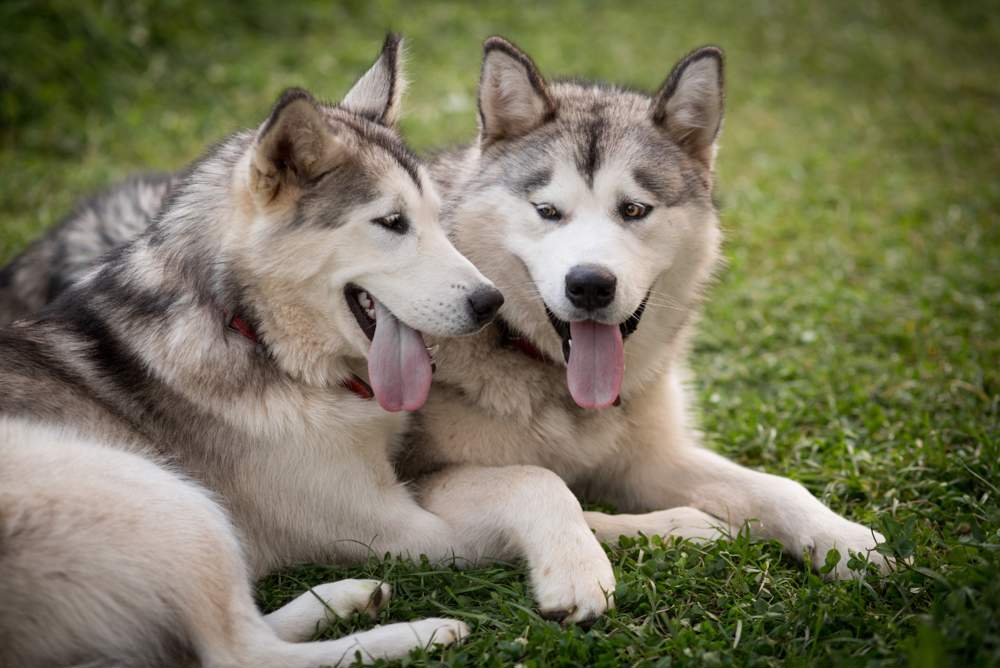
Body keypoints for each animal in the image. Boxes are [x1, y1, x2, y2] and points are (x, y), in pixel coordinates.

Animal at [0, 37, 632, 668]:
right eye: (392, 222)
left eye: (436, 216)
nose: (490, 301)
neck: (255, 336)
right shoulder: (398, 531)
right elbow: (567, 500)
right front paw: (637, 530)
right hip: (165, 498)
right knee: (242, 653)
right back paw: (422, 632)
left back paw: (344, 597)